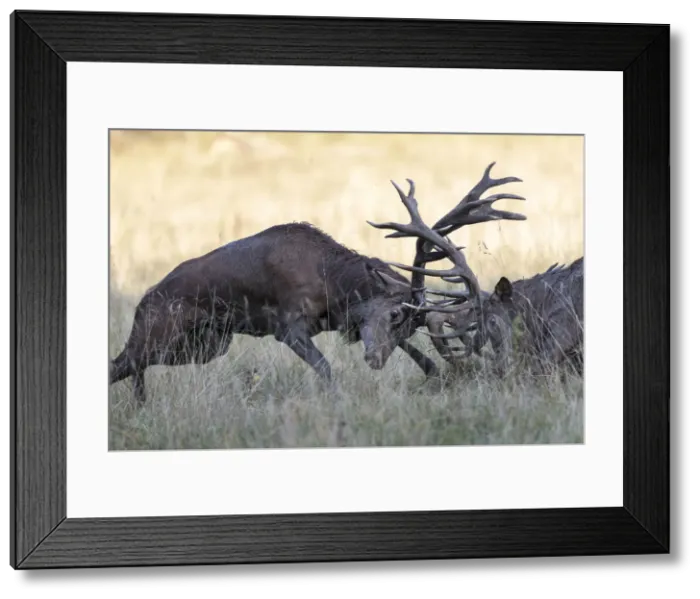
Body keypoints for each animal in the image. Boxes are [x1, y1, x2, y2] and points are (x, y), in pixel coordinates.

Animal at [109, 221, 440, 404]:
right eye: (395, 314)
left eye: (411, 326)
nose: (376, 360)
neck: (335, 283)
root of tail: (143, 302)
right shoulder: (288, 328)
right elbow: (325, 367)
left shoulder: (333, 321)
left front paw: (434, 371)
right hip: (158, 334)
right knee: (120, 363)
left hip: (208, 345)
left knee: (132, 366)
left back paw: (141, 404)